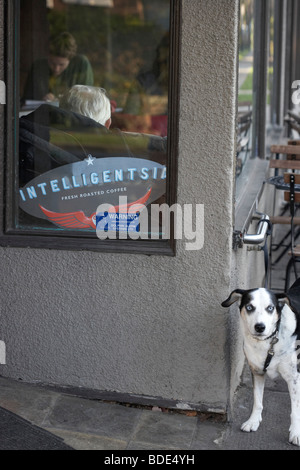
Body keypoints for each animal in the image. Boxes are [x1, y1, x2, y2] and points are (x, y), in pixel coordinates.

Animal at [223, 278, 300, 446]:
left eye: (270, 308)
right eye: (249, 307)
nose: (260, 327)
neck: (269, 342)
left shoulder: (294, 377)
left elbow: (296, 409)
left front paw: (296, 432)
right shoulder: (257, 372)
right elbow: (257, 401)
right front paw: (253, 421)